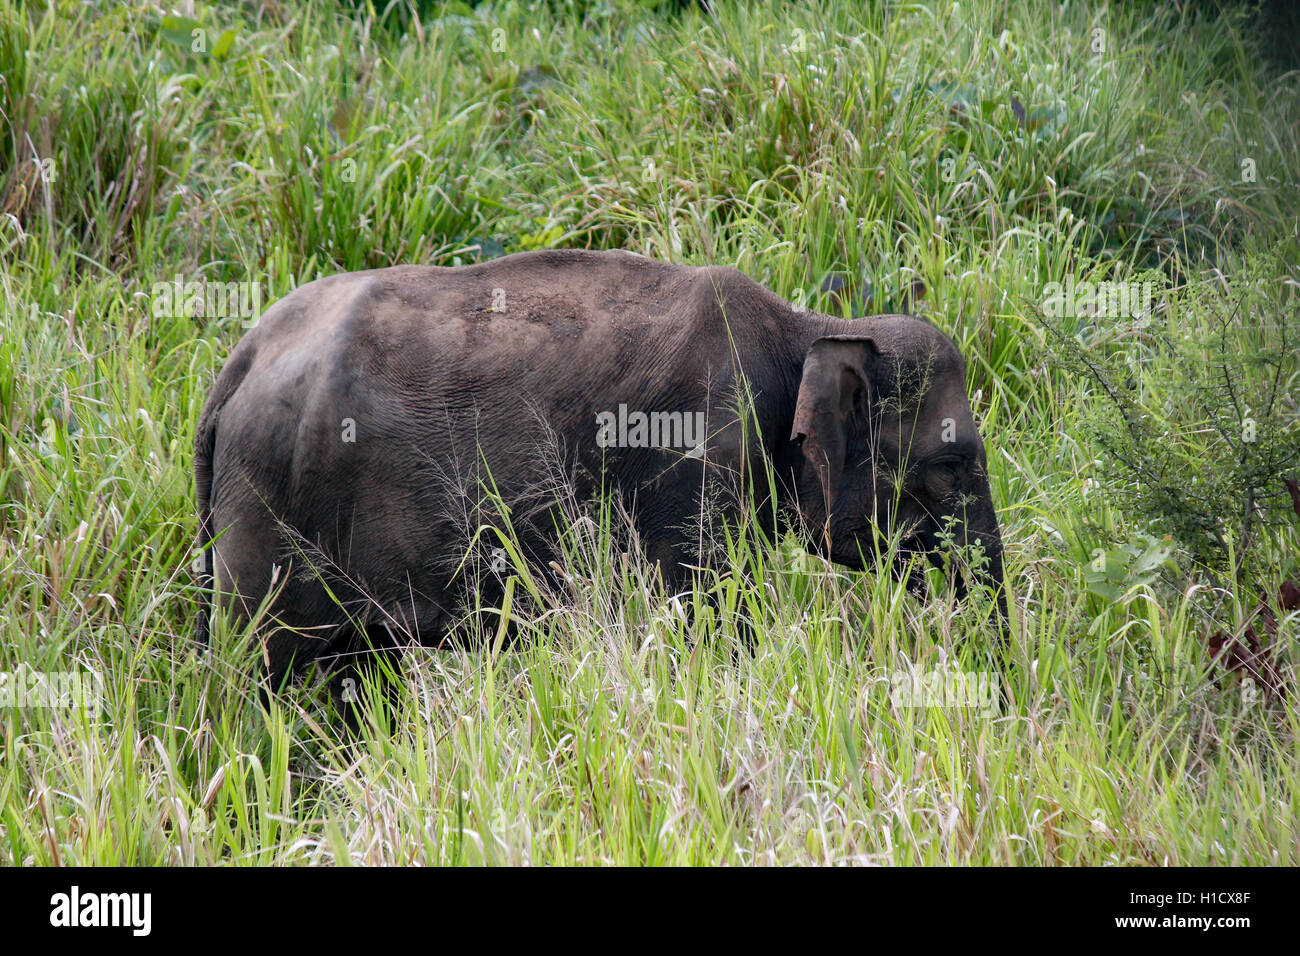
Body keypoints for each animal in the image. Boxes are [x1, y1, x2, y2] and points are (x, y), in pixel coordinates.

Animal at [192, 251, 1008, 691]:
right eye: (951, 462)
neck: (808, 327)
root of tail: (238, 362)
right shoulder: (701, 460)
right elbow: (709, 618)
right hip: (266, 513)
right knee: (259, 672)